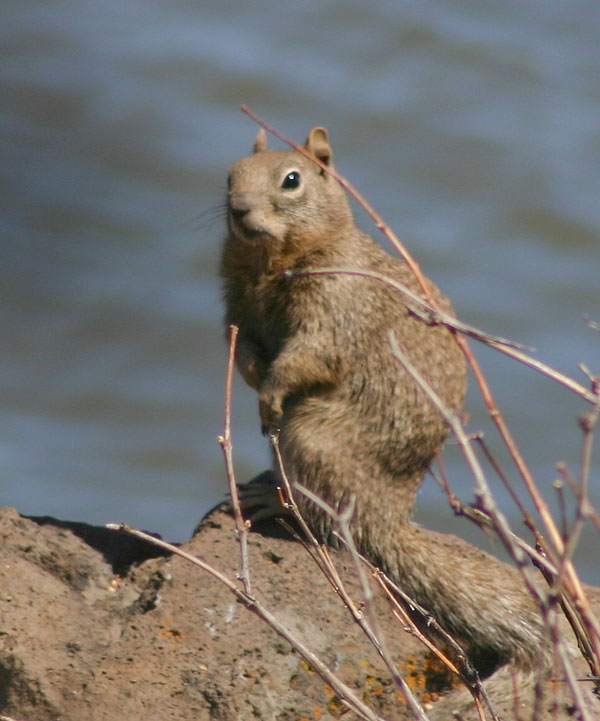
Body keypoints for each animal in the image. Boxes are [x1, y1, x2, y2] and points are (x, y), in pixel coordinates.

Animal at [220, 125, 544, 676]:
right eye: (230, 174)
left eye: (292, 180)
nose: (238, 208)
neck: (271, 261)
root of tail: (391, 515)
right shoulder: (235, 304)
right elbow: (236, 343)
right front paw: (254, 375)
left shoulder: (334, 307)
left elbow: (308, 356)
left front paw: (271, 392)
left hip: (309, 437)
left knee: (331, 522)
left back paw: (276, 501)